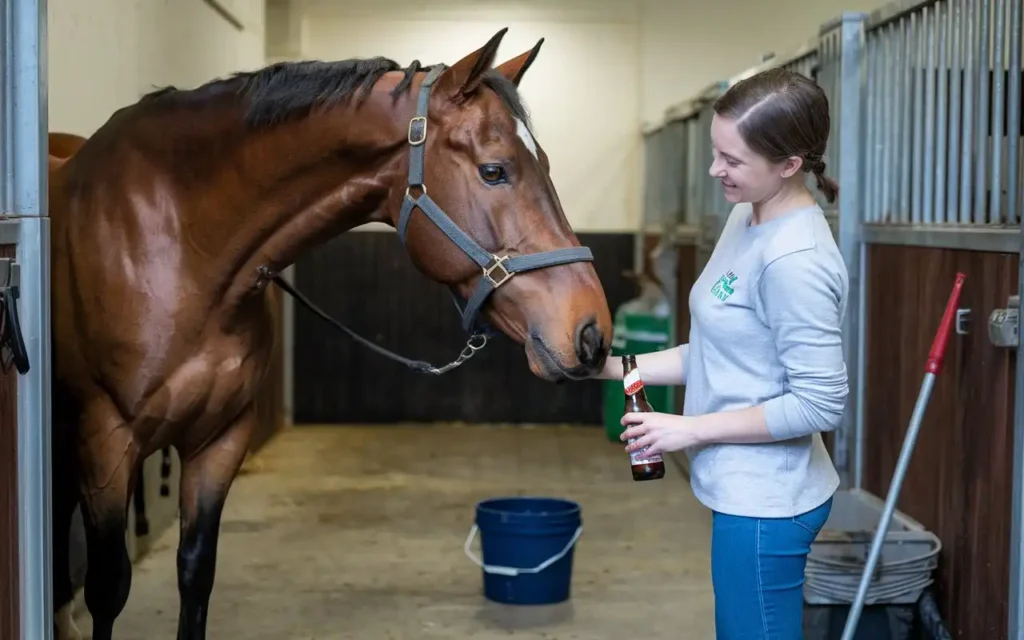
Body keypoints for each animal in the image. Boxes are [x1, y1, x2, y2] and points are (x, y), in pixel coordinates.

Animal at [49, 29, 606, 638]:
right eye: (494, 171)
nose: (592, 331)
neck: (185, 242)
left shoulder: (221, 438)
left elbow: (195, 574)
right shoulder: (106, 443)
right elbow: (107, 588)